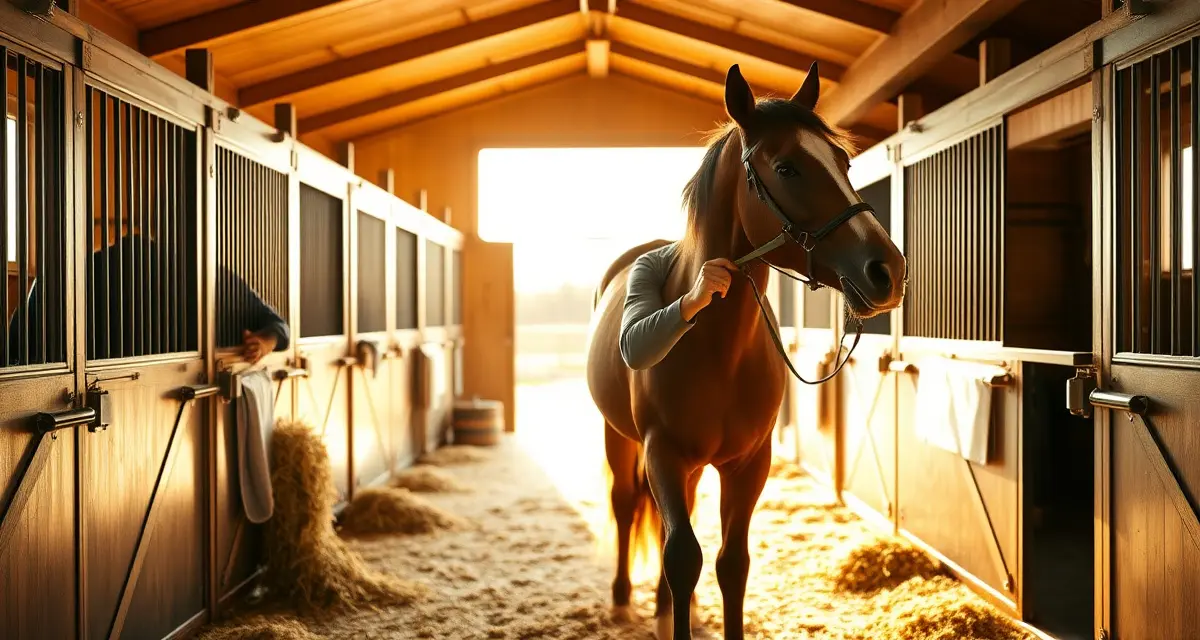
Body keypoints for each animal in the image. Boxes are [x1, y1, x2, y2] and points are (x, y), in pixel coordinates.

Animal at [585, 61, 907, 640]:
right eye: (787, 168)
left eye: (844, 161)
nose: (888, 271)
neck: (718, 351)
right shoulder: (661, 451)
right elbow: (682, 556)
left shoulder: (749, 463)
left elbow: (731, 562)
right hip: (619, 437)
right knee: (625, 505)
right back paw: (623, 601)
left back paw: (669, 610)